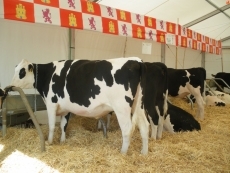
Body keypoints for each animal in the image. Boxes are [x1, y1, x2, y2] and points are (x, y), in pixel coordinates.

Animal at [9, 57, 168, 154]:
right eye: (15, 70)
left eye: (22, 72)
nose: (10, 86)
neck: (49, 74)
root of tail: (137, 61)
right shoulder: (66, 108)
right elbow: (63, 126)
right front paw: (62, 141)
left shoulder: (51, 104)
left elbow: (52, 126)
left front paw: (49, 142)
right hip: (139, 105)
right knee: (144, 125)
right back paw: (144, 153)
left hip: (122, 107)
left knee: (128, 129)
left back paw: (123, 152)